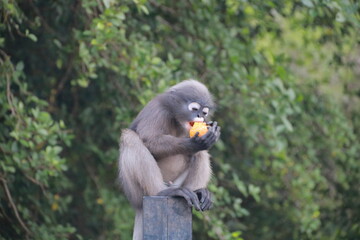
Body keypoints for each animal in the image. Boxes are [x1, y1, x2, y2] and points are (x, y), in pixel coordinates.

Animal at [119, 79, 219, 239]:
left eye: (204, 112)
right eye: (194, 108)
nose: (200, 116)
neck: (177, 119)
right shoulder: (158, 109)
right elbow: (148, 140)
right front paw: (193, 144)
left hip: (178, 182)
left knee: (200, 154)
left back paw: (198, 192)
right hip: (136, 192)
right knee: (129, 137)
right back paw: (161, 192)